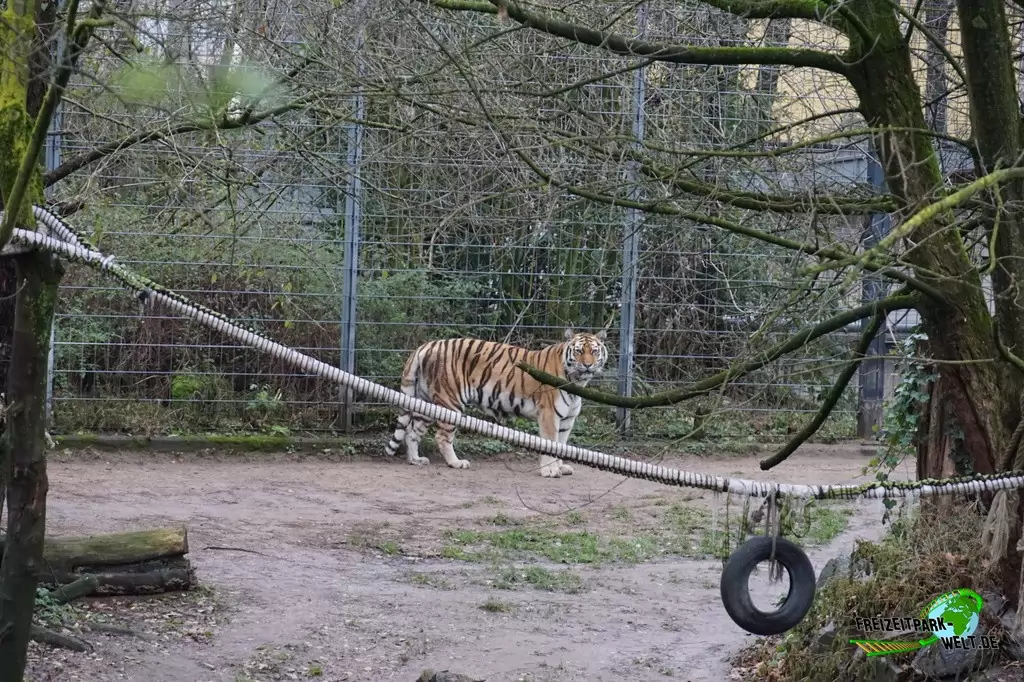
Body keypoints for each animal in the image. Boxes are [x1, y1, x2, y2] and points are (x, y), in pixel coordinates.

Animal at [383, 328, 609, 478]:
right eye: (578, 351)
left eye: (594, 351)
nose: (587, 365)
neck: (577, 382)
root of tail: (426, 345)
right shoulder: (549, 416)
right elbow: (549, 445)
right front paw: (550, 471)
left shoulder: (567, 419)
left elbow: (561, 445)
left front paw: (560, 467)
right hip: (450, 402)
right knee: (441, 437)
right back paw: (456, 463)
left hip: (426, 403)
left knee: (412, 431)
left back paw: (416, 461)